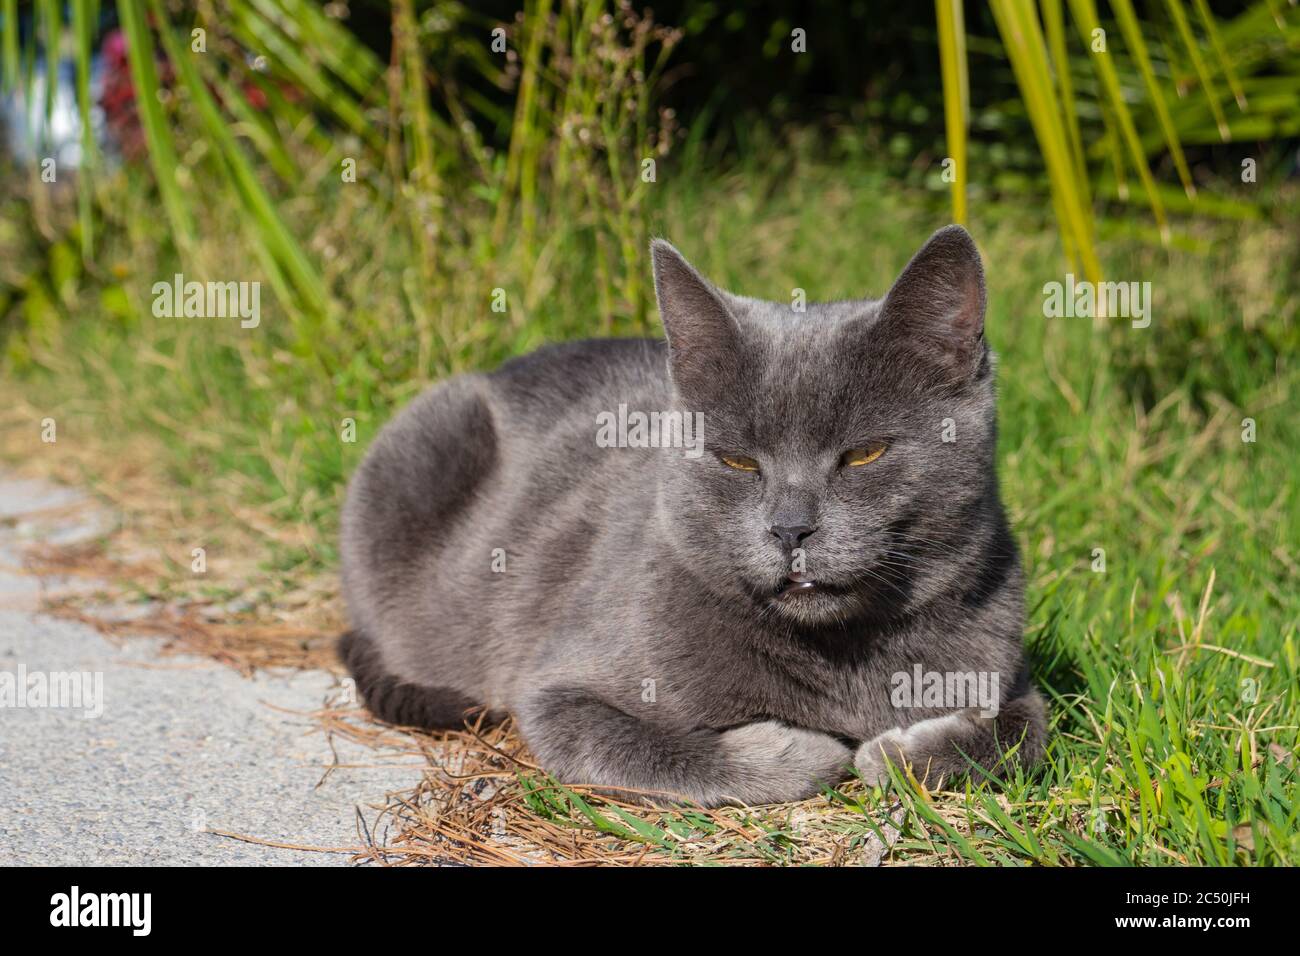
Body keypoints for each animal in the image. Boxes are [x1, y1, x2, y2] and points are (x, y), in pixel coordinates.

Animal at [338, 226, 1045, 806]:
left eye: (864, 453)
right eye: (736, 461)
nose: (790, 528)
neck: (842, 656)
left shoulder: (1008, 667)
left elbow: (1024, 732)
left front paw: (893, 752)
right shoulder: (557, 690)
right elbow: (644, 748)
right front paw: (813, 748)